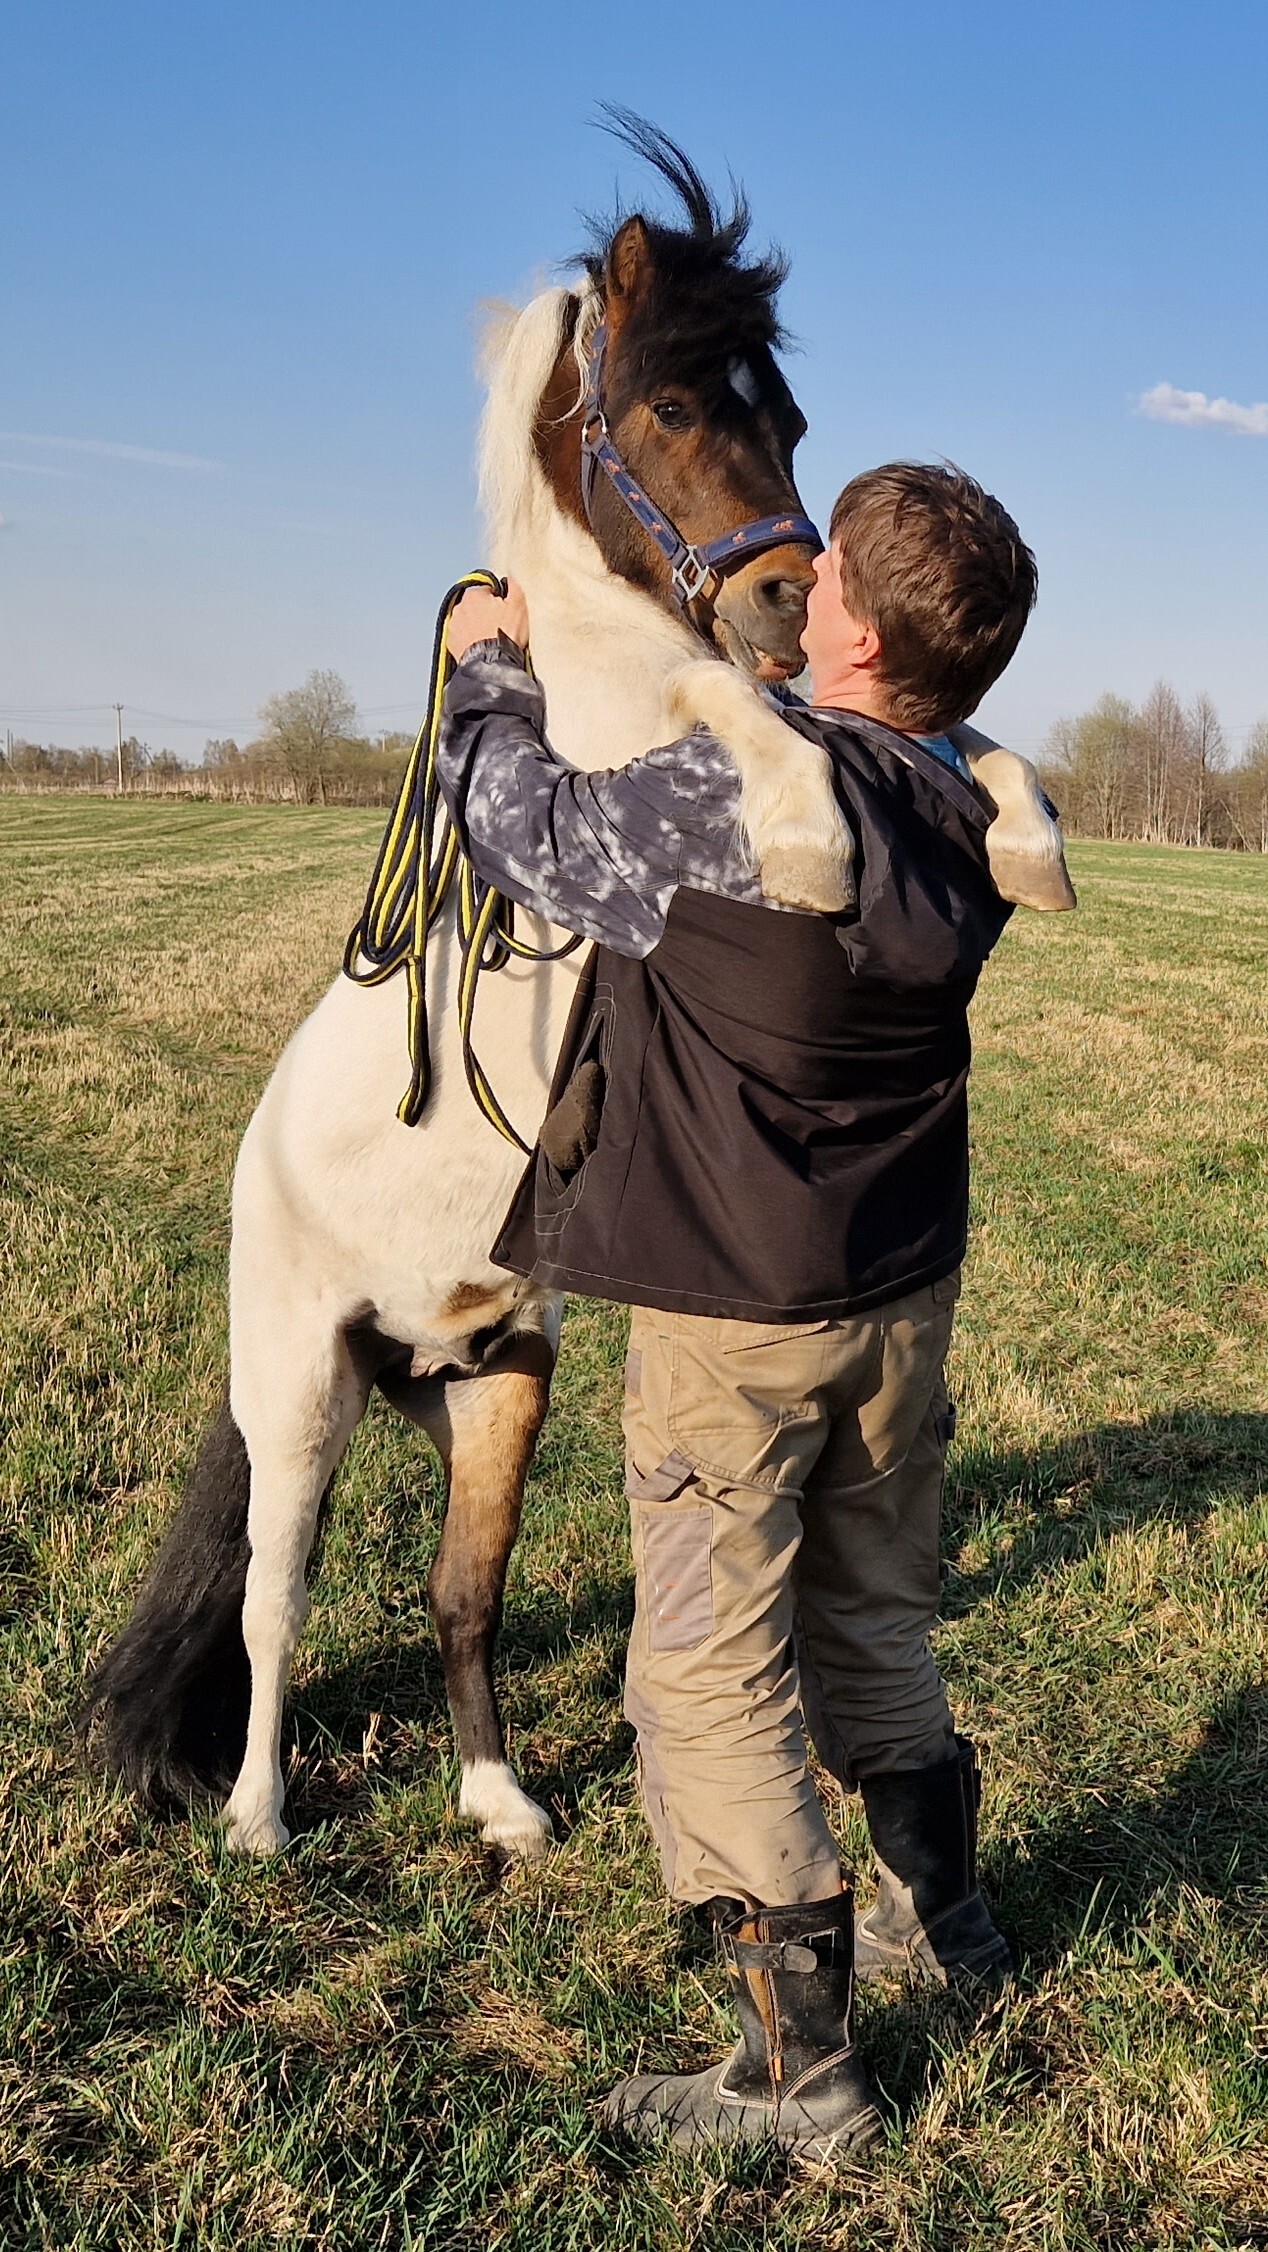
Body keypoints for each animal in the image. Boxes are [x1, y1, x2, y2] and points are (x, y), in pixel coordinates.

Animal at [84, 109, 1067, 1864]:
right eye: (671, 405)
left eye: (785, 417)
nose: (784, 601)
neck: (587, 652)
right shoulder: (639, 743)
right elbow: (741, 723)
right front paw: (813, 844)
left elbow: (958, 734)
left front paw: (1029, 849)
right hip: (297, 1394)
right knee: (273, 1603)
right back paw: (258, 1820)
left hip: (496, 1388)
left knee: (458, 1596)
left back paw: (502, 1804)